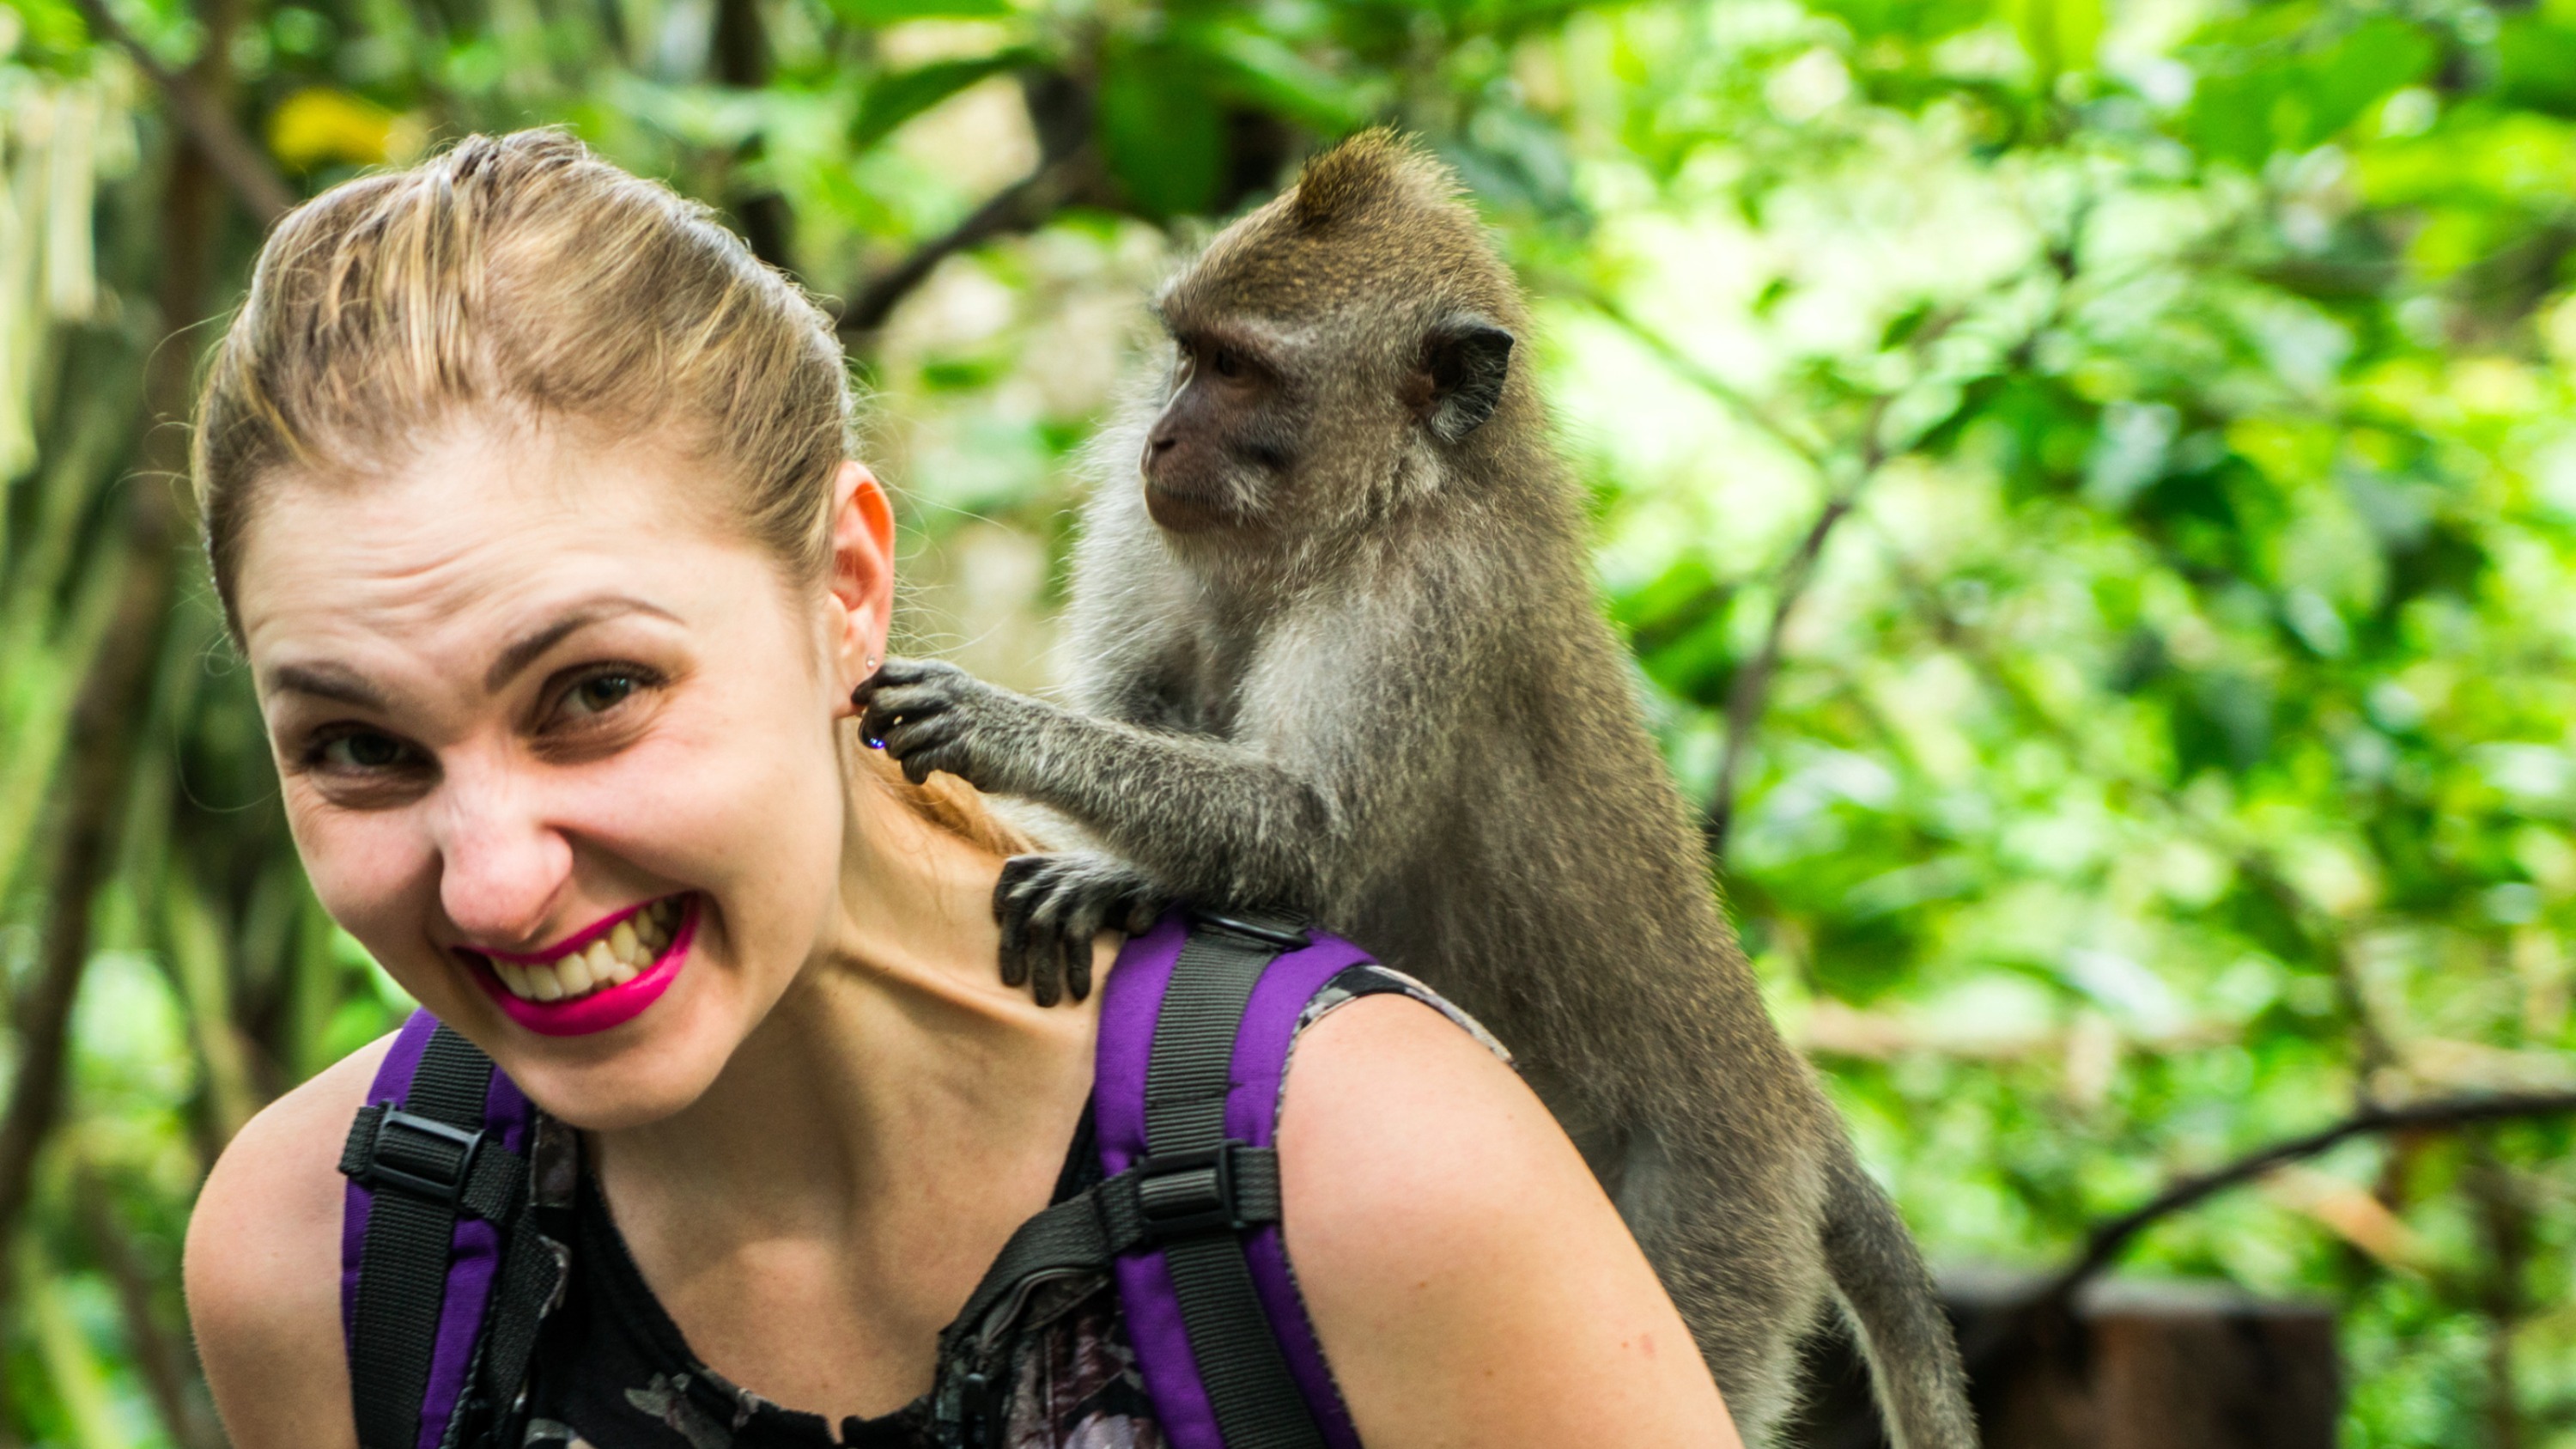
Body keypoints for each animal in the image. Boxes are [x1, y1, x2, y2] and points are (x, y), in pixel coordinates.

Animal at [855, 129, 1978, 1433]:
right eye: (1187, 353)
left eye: (1240, 370)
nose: (1160, 437)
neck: (1381, 502)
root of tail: (1789, 1105)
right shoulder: (1152, 526)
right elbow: (1150, 696)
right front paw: (1118, 875)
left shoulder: (1426, 594)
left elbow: (1306, 829)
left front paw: (995, 729)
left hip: (1715, 1219)